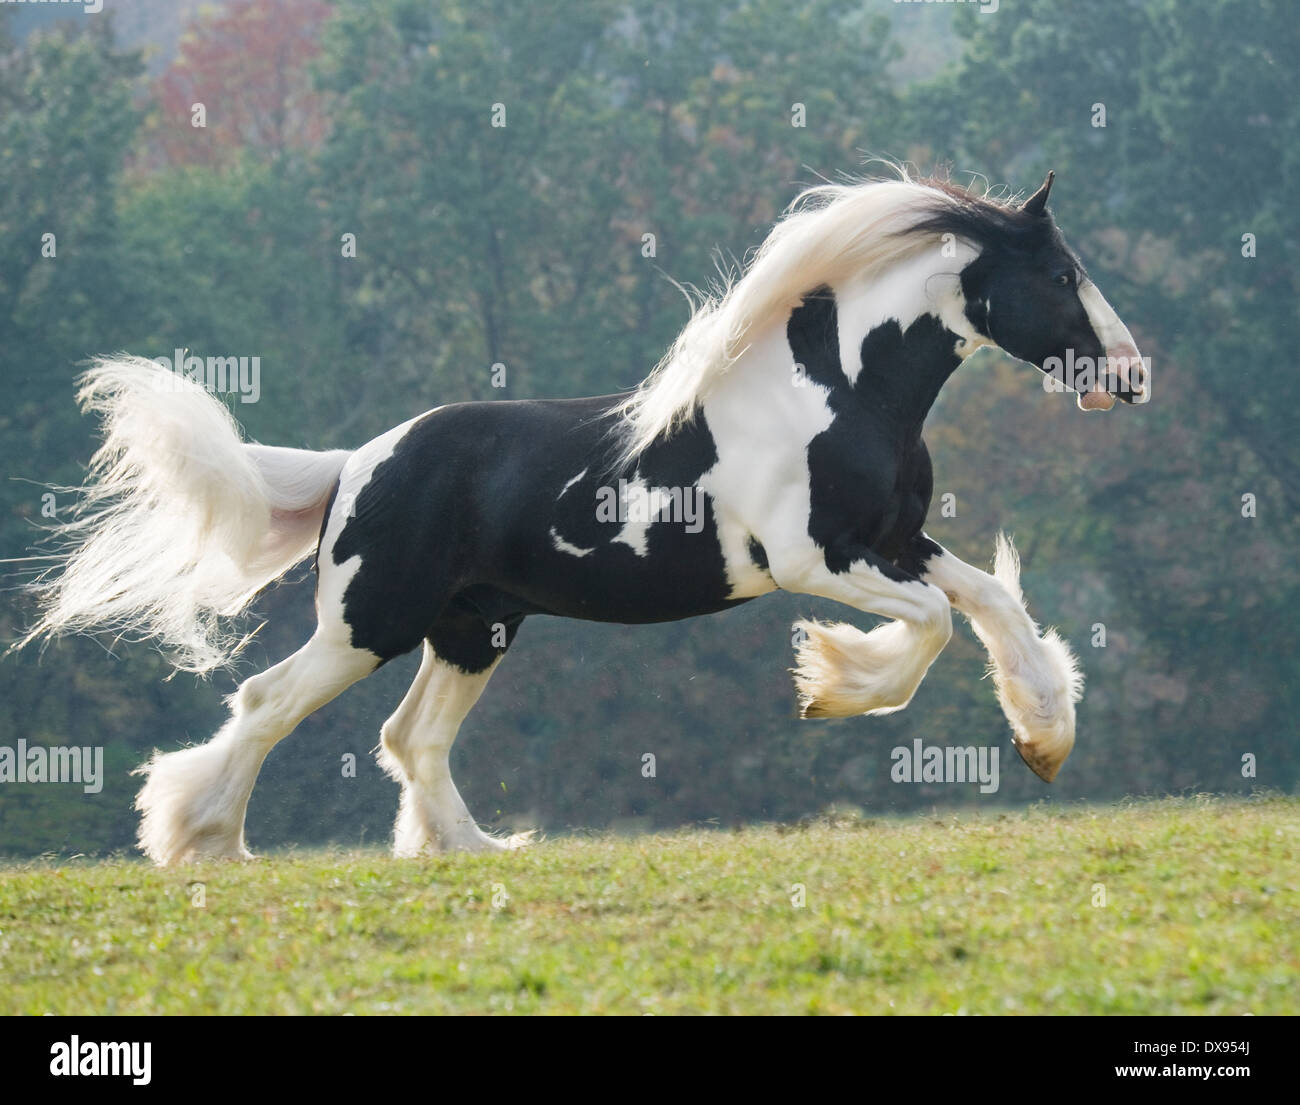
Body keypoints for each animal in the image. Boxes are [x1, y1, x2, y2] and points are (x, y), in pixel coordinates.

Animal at [17, 169, 1148, 866]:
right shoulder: (814, 557)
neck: (839, 391)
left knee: (409, 735)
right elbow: (934, 624)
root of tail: (358, 465)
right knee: (265, 702)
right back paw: (201, 839)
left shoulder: (897, 541)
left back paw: (472, 851)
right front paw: (830, 684)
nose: (1131, 377)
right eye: (1060, 275)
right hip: (370, 622)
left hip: (475, 626)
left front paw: (1044, 736)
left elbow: (988, 600)